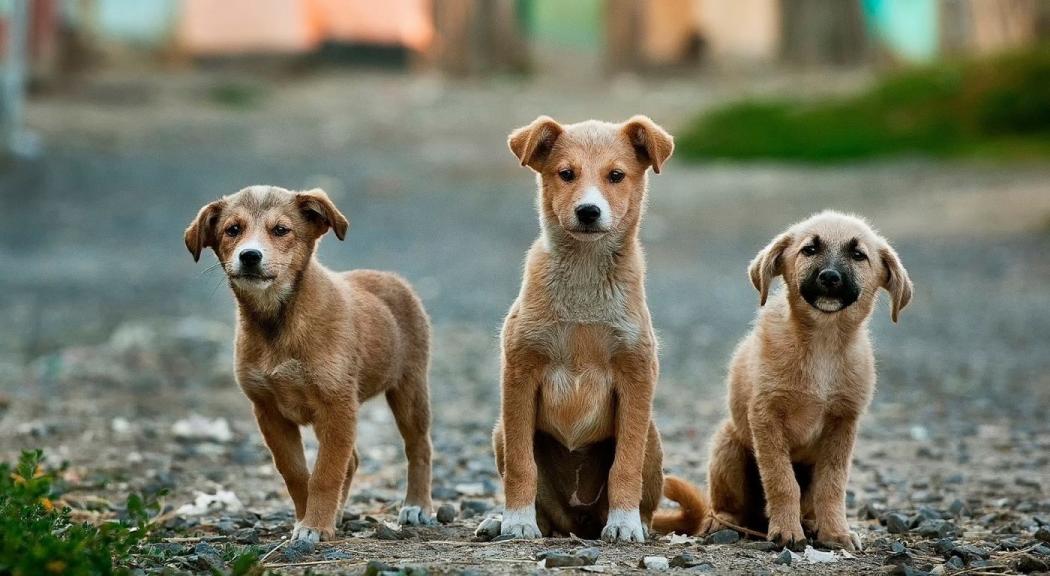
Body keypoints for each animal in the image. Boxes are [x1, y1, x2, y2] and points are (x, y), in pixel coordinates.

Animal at [185, 186, 434, 541]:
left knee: (418, 447)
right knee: (352, 460)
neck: (278, 322)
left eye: (281, 230)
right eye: (232, 230)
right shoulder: (269, 411)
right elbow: (296, 473)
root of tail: (392, 278)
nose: (250, 256)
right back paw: (339, 514)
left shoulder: (337, 406)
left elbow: (326, 473)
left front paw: (315, 525)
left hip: (409, 389)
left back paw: (417, 506)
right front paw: (308, 519)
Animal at [688, 209, 911, 549]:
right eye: (810, 249)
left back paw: (811, 523)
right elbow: (781, 480)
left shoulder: (843, 423)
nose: (830, 277)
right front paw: (786, 530)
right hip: (728, 445)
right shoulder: (766, 417)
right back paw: (723, 523)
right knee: (727, 506)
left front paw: (836, 532)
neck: (823, 343)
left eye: (858, 255)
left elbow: (832, 485)